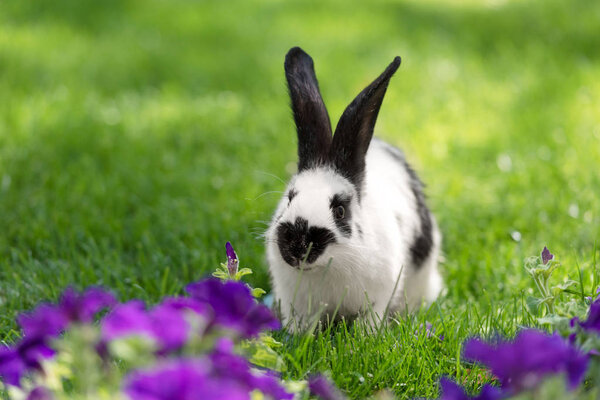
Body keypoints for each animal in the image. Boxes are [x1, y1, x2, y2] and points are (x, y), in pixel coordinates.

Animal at [264, 47, 442, 330]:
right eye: (290, 198)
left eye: (339, 210)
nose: (298, 246)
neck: (327, 267)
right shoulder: (295, 303)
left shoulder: (379, 297)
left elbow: (369, 322)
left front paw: (364, 337)